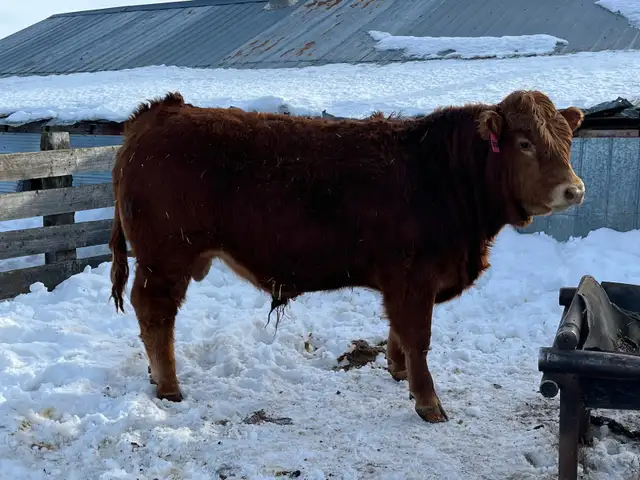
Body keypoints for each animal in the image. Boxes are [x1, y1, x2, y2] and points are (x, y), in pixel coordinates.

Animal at [109, 90, 585, 423]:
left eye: (567, 141)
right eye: (525, 142)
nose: (574, 189)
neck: (443, 173)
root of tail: (160, 112)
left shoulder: (402, 281)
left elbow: (398, 332)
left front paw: (398, 372)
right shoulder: (414, 276)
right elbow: (418, 336)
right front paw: (428, 402)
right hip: (165, 259)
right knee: (155, 314)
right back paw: (169, 386)